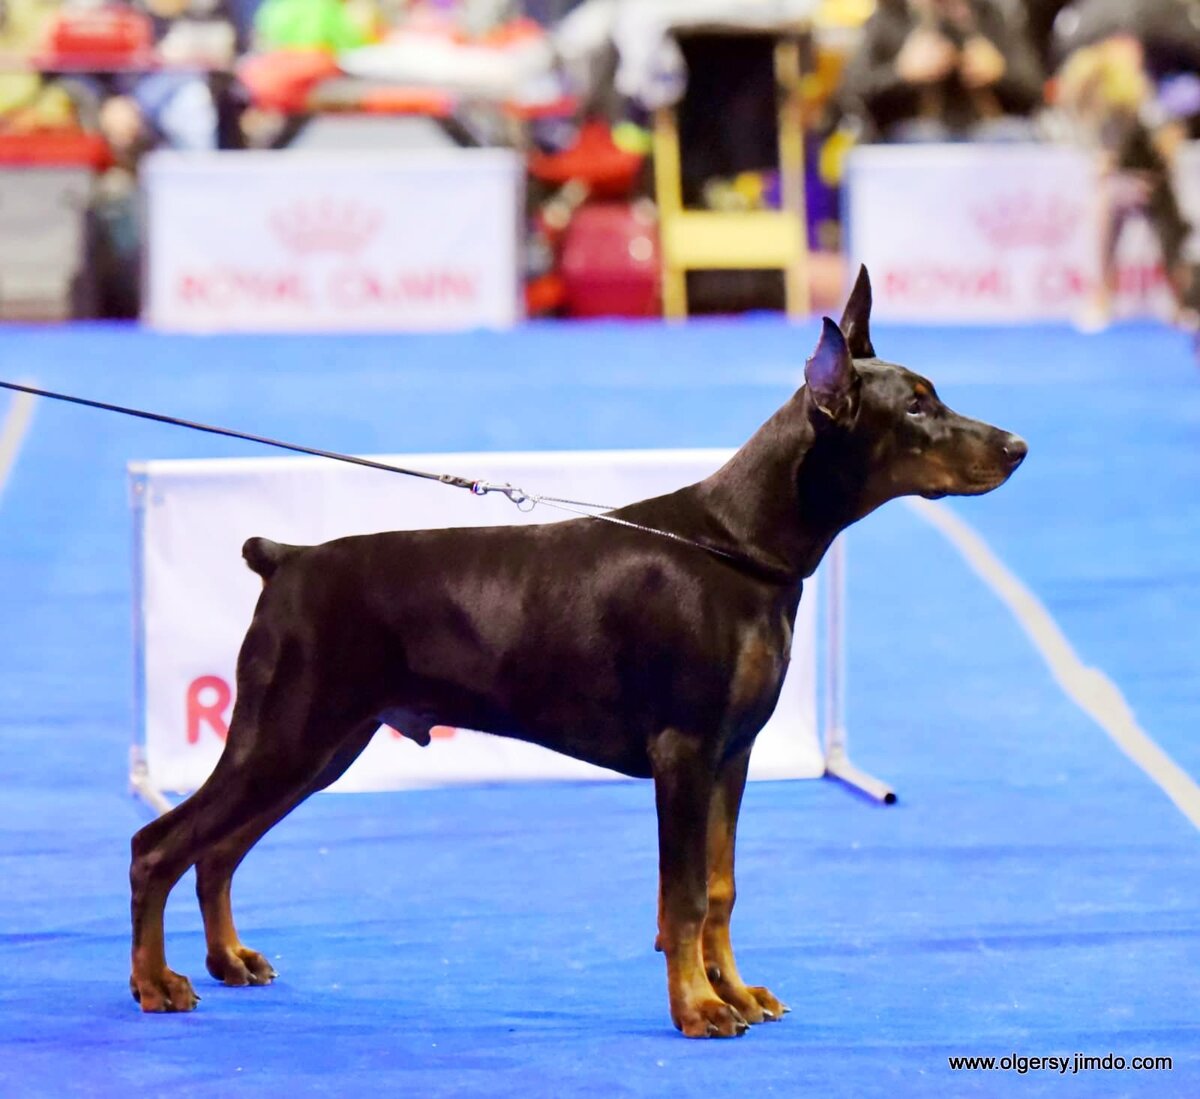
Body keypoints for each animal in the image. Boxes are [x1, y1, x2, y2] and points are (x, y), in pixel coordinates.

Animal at [133, 268, 1032, 1036]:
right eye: (915, 408)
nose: (1018, 446)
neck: (740, 542)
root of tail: (284, 557)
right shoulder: (684, 751)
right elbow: (683, 898)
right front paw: (698, 1008)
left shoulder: (733, 753)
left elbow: (720, 885)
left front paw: (736, 990)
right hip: (286, 732)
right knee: (162, 844)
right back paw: (155, 981)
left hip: (323, 746)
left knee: (217, 849)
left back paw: (226, 959)